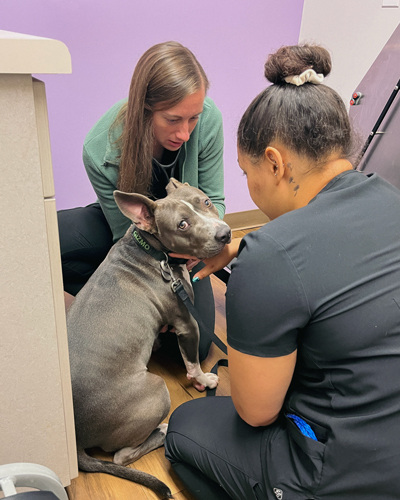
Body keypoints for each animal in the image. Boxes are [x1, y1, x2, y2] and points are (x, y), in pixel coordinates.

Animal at [66, 178, 231, 498]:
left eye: (205, 201)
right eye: (182, 224)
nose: (225, 233)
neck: (154, 252)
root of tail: (75, 435)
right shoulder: (187, 324)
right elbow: (192, 363)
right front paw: (204, 380)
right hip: (156, 391)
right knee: (121, 455)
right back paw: (163, 430)